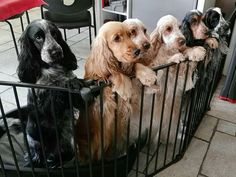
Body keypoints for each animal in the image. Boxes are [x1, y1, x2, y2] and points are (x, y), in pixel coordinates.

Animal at [16, 19, 97, 167]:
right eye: (38, 37)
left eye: (54, 34)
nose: (56, 52)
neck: (52, 68)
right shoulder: (45, 106)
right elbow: (58, 91)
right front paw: (72, 83)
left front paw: (85, 81)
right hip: (34, 139)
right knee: (38, 157)